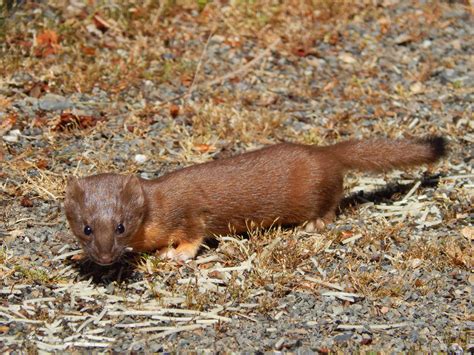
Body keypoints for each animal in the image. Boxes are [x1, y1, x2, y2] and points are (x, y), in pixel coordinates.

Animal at [62, 138, 444, 266]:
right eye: (86, 228)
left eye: (122, 226)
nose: (105, 257)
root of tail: (324, 152)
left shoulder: (189, 213)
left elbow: (195, 234)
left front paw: (175, 254)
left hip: (321, 191)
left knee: (332, 203)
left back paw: (314, 223)